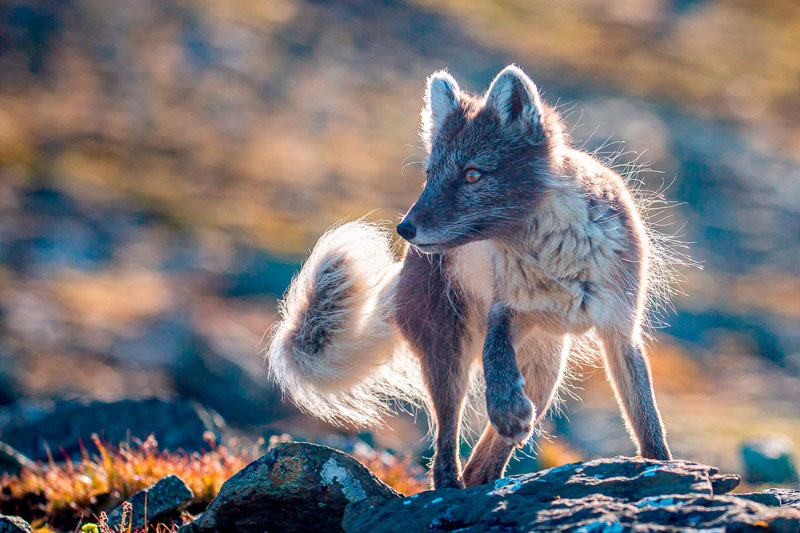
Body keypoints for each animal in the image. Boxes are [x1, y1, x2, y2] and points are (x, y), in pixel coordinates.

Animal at [268, 65, 675, 490]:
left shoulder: (620, 329)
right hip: (452, 355)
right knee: (446, 446)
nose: (405, 228)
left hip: (545, 370)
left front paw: (660, 463)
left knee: (483, 463)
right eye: (430, 174)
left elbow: (646, 418)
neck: (556, 257)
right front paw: (507, 408)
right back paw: (452, 485)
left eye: (472, 175)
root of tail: (404, 269)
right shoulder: (506, 307)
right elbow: (496, 354)